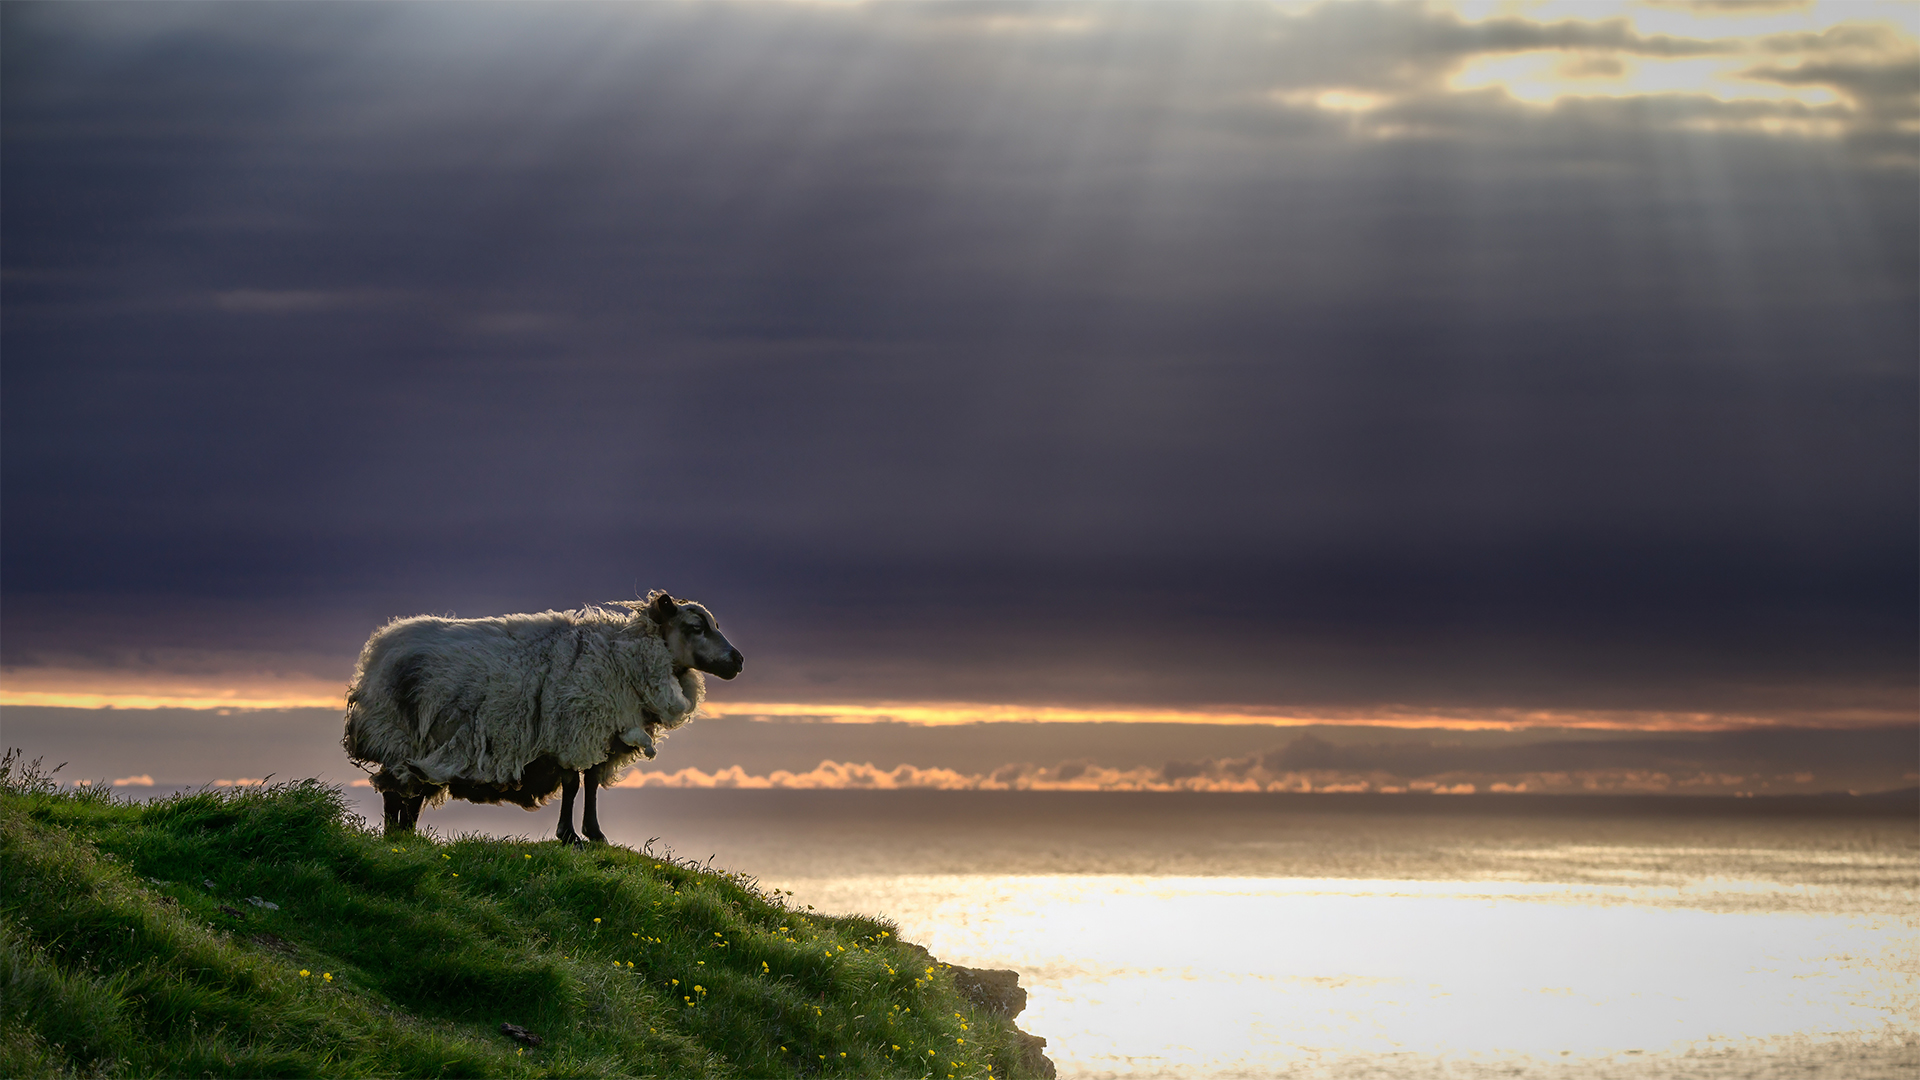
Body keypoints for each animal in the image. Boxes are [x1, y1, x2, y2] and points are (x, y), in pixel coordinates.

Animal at [342, 591, 742, 843]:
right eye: (696, 627)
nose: (738, 660)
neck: (620, 657)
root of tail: (379, 647)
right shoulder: (571, 729)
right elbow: (573, 784)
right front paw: (570, 836)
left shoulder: (598, 733)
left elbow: (591, 782)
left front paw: (595, 834)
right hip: (396, 735)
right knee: (393, 791)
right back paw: (394, 838)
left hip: (419, 746)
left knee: (410, 792)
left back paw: (406, 835)